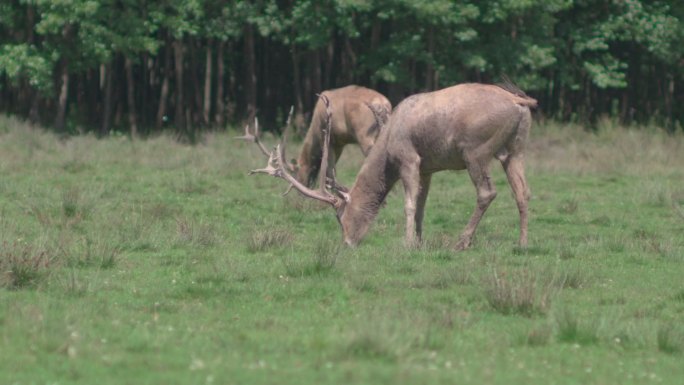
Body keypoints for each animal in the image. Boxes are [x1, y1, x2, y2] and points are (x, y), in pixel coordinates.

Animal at [248, 82, 536, 249]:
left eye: (340, 217)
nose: (347, 243)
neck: (387, 150)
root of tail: (520, 102)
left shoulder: (409, 158)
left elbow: (408, 203)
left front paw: (407, 243)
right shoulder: (427, 167)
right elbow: (421, 205)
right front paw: (419, 240)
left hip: (475, 150)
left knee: (487, 192)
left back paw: (462, 242)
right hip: (516, 148)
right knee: (523, 192)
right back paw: (522, 243)